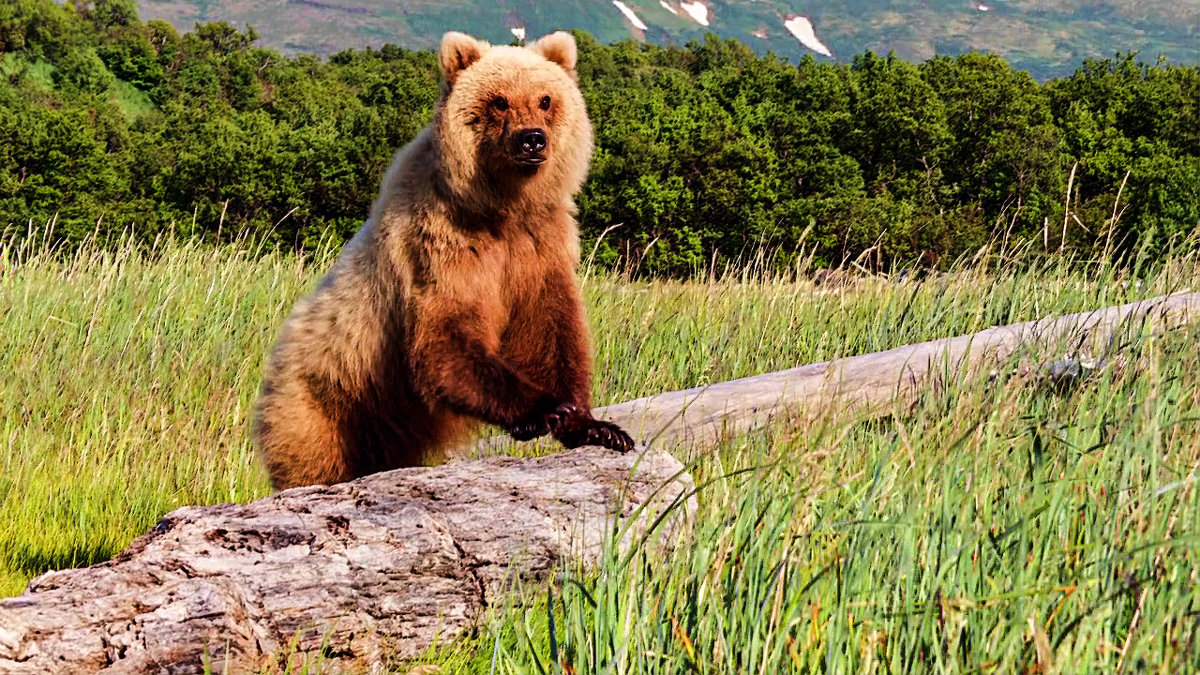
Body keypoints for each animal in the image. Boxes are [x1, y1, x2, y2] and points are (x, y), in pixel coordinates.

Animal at [254, 30, 638, 487]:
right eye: (499, 100)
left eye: (545, 99)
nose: (532, 139)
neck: (502, 208)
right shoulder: (443, 241)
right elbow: (447, 335)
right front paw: (544, 410)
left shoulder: (539, 246)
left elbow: (551, 330)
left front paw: (597, 427)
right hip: (325, 403)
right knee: (316, 459)